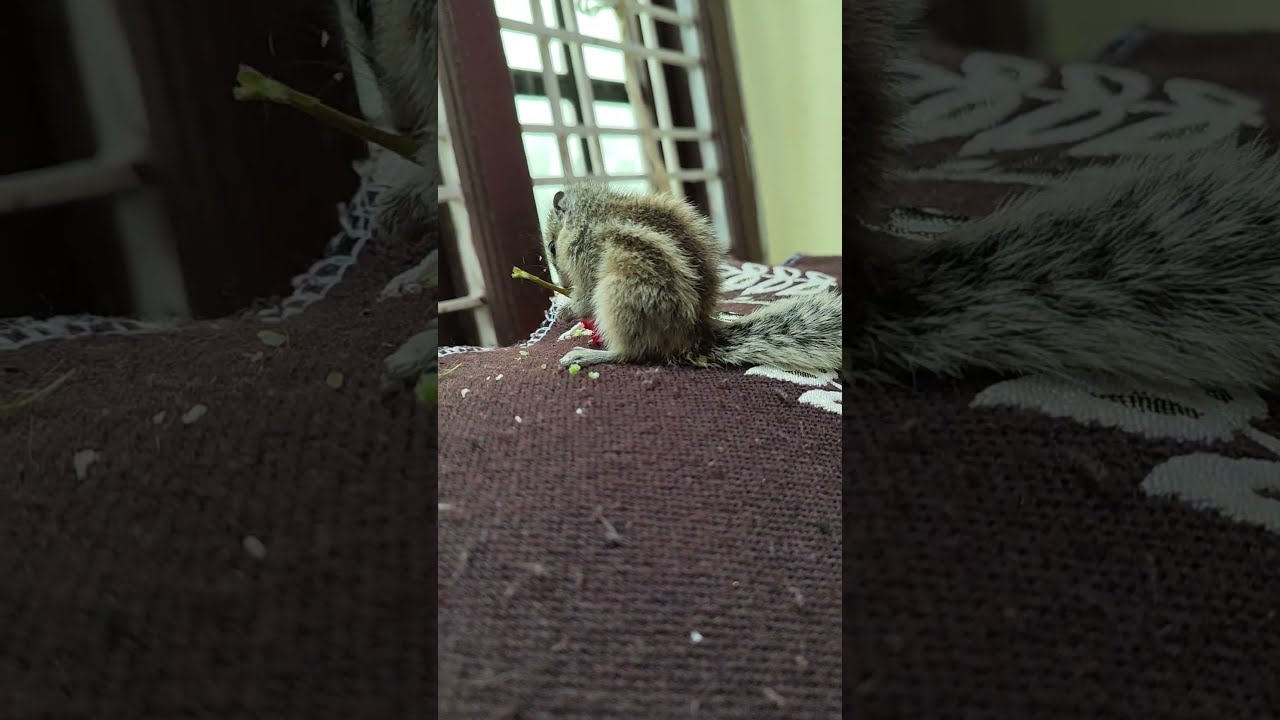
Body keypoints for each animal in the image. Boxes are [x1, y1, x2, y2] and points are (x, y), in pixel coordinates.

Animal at [544, 183, 842, 375]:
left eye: (551, 247)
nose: (563, 285)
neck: (592, 214)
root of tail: (694, 339)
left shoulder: (585, 259)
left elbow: (584, 299)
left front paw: (564, 311)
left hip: (618, 299)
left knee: (631, 354)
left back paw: (586, 355)